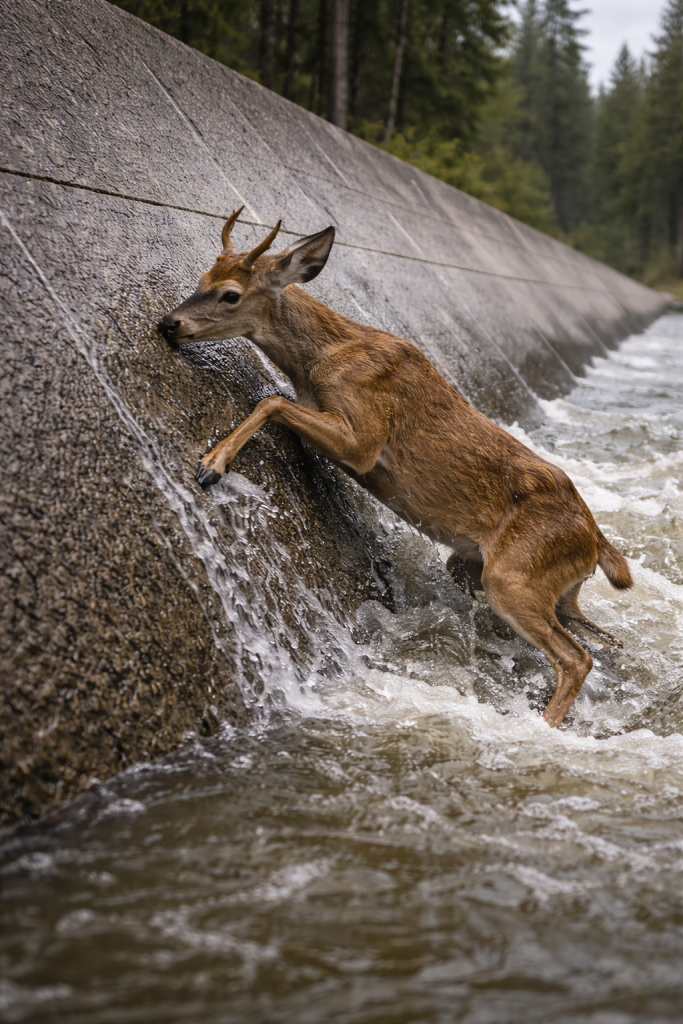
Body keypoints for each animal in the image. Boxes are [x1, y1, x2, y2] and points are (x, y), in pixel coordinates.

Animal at [158, 210, 633, 728]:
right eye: (201, 280)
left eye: (231, 294)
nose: (168, 323)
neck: (318, 359)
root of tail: (594, 539)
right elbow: (276, 399)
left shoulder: (365, 435)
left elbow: (271, 401)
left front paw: (211, 464)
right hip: (514, 579)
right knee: (607, 642)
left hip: (513, 576)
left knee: (576, 657)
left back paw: (539, 727)